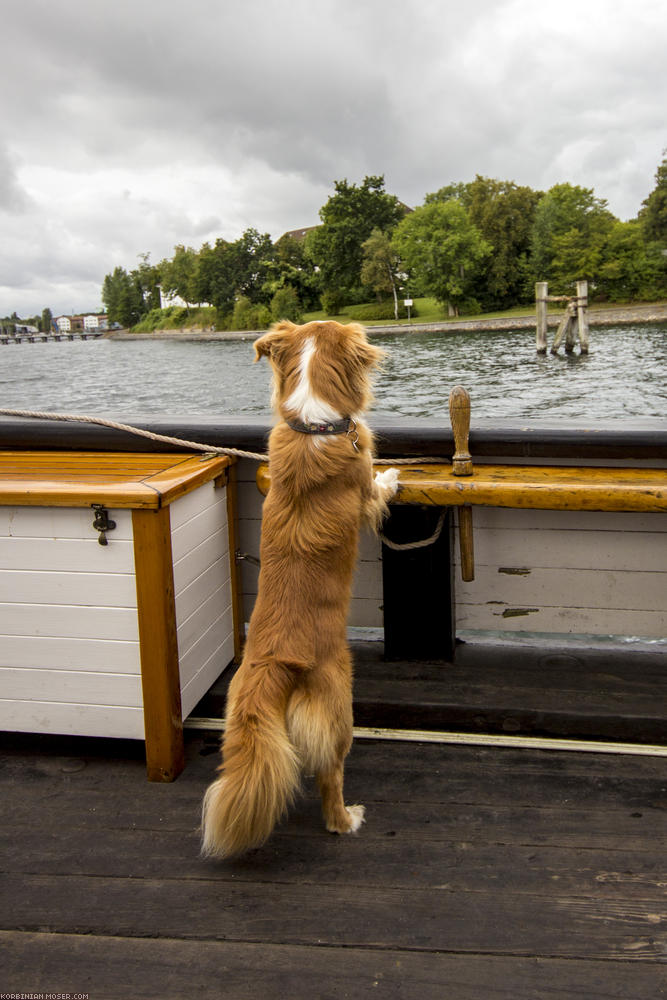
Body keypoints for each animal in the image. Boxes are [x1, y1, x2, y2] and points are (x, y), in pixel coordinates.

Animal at [201, 320, 400, 860]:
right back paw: (347, 819)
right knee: (330, 779)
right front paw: (394, 474)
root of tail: (277, 663)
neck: (315, 425)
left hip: (239, 715)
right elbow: (377, 487)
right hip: (339, 708)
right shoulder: (364, 489)